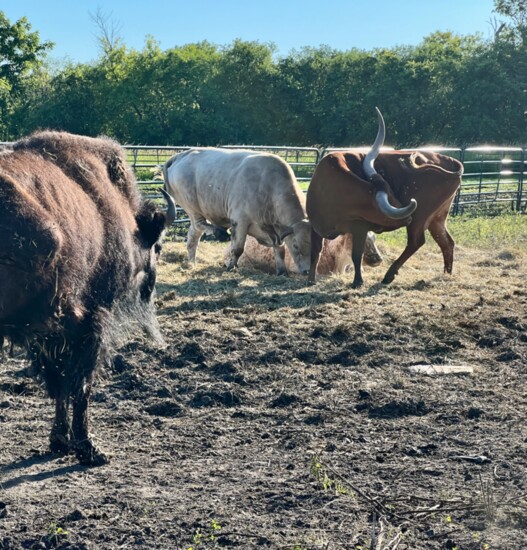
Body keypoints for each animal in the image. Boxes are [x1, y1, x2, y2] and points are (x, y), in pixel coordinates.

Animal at [0, 133, 177, 466]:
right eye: (158, 246)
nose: (151, 286)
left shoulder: (50, 333)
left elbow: (58, 383)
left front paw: (60, 442)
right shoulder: (93, 319)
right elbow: (80, 383)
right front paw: (90, 449)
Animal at [164, 149, 314, 276]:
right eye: (296, 245)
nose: (307, 271)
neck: (268, 187)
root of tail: (181, 156)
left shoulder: (275, 231)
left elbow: (280, 250)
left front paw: (282, 271)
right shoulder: (240, 220)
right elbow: (238, 248)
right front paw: (232, 266)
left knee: (193, 237)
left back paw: (191, 263)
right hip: (191, 206)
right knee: (199, 224)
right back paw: (220, 233)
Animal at [308, 109, 464, 288]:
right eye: (390, 195)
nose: (408, 217)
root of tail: (451, 162)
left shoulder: (359, 227)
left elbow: (356, 255)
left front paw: (357, 281)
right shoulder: (315, 226)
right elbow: (315, 251)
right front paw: (310, 280)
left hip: (422, 218)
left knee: (416, 242)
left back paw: (389, 275)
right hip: (436, 218)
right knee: (446, 242)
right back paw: (446, 274)